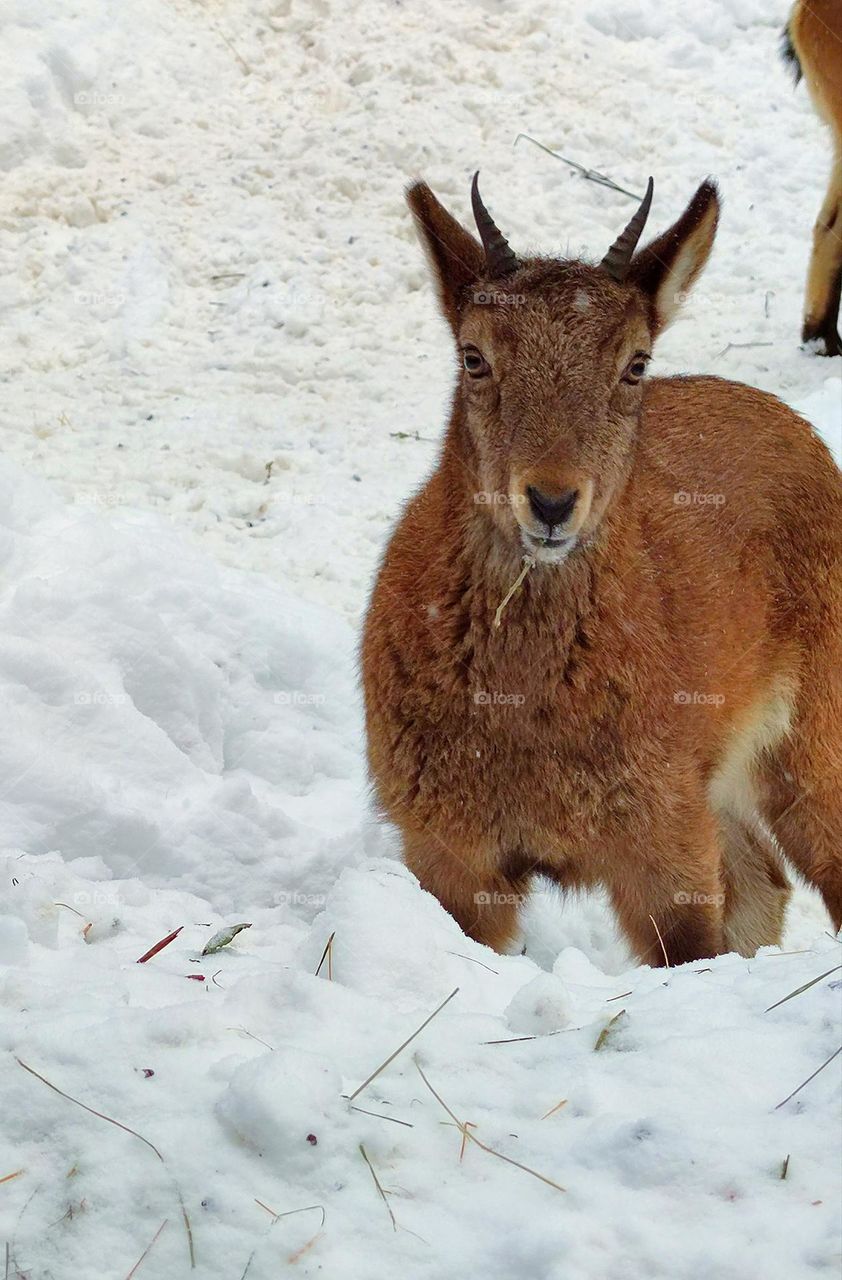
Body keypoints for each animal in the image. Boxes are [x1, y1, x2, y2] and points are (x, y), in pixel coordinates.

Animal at [362, 174, 842, 967]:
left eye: (635, 362)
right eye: (474, 355)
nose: (552, 501)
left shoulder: (664, 842)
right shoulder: (449, 850)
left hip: (809, 738)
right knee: (765, 880)